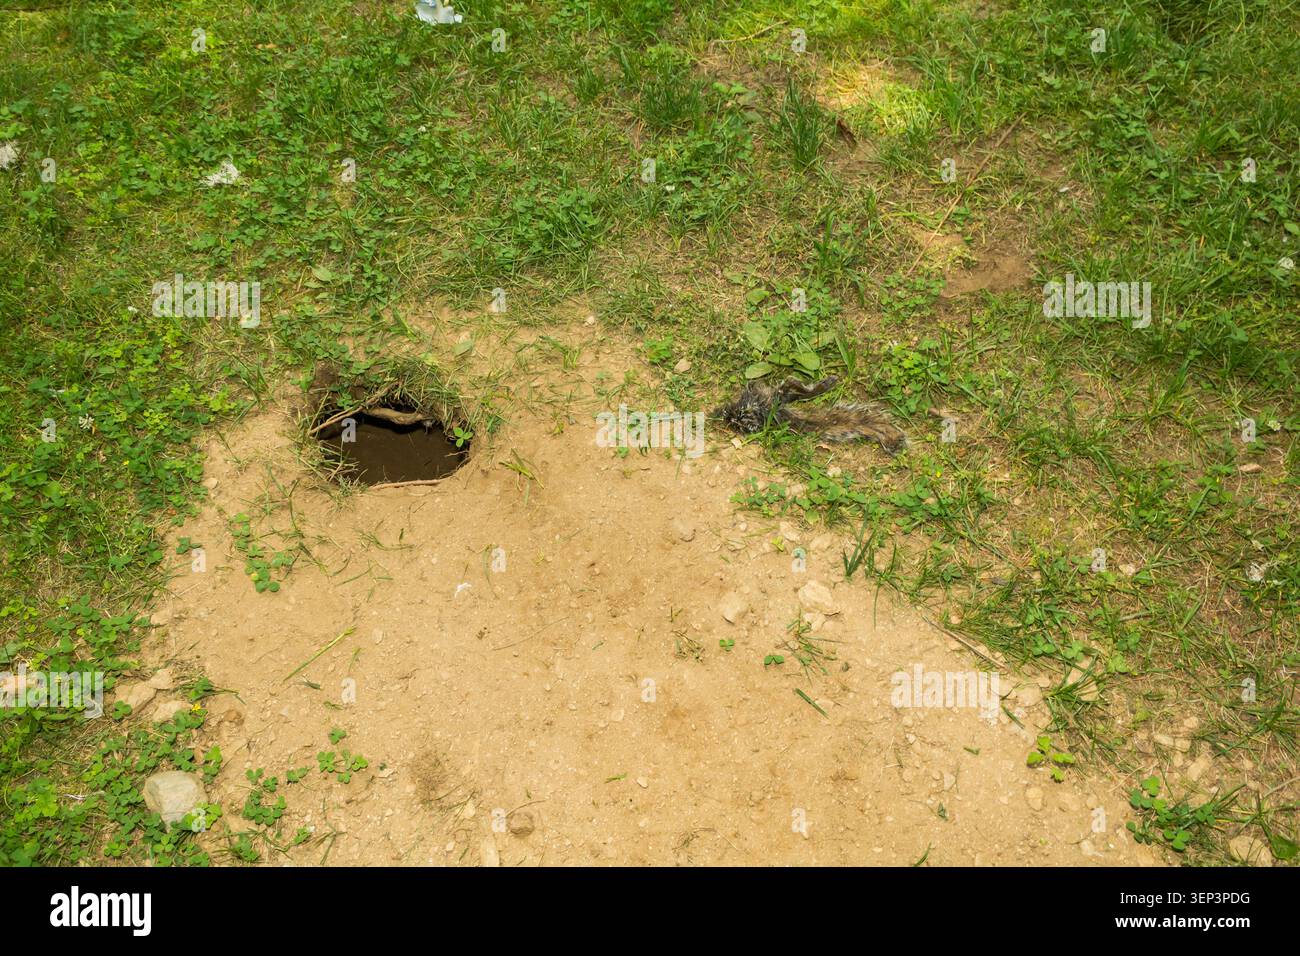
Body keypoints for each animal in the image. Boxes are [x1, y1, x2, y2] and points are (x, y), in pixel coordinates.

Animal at [714, 375, 908, 453]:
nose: (726, 415)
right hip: (774, 397)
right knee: (793, 387)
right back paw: (826, 383)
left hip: (769, 397)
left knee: (791, 386)